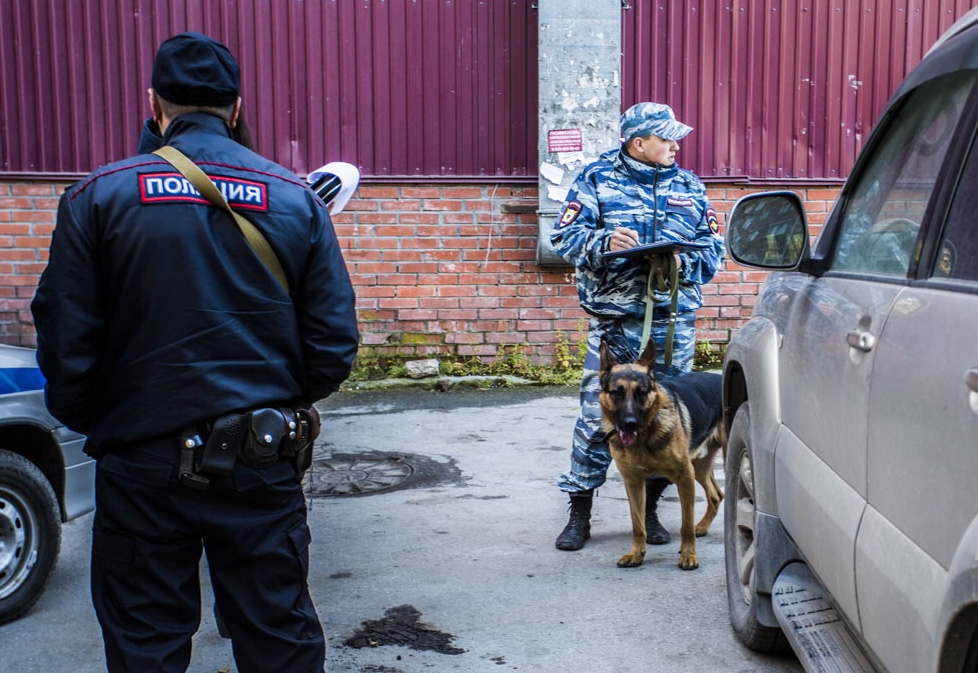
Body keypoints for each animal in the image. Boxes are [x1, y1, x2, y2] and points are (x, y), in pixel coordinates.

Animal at [596, 338, 724, 568]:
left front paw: (689, 555)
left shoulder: (684, 477)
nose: (630, 424)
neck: (644, 437)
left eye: (642, 392)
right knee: (716, 495)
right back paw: (703, 526)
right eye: (617, 392)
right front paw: (636, 554)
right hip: (699, 465)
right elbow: (638, 525)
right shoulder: (633, 482)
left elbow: (686, 523)